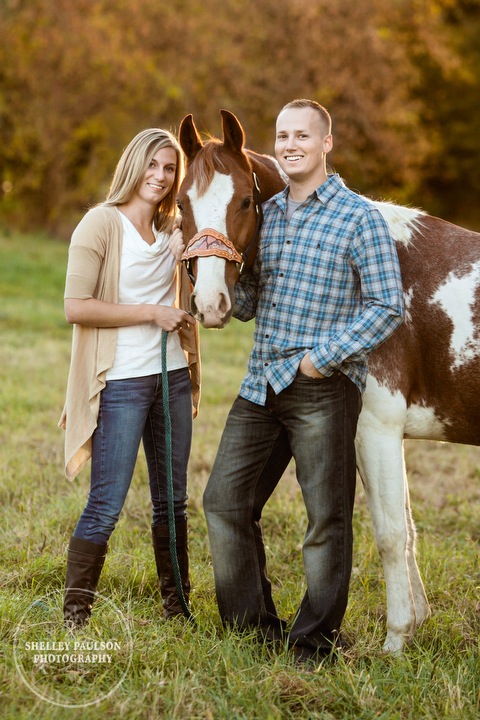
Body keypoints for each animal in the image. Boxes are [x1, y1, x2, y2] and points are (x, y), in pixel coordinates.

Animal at [176, 109, 480, 656]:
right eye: (182, 204)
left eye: (245, 201)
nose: (210, 303)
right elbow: (406, 528)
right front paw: (416, 624)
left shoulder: (375, 429)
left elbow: (389, 533)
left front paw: (396, 642)